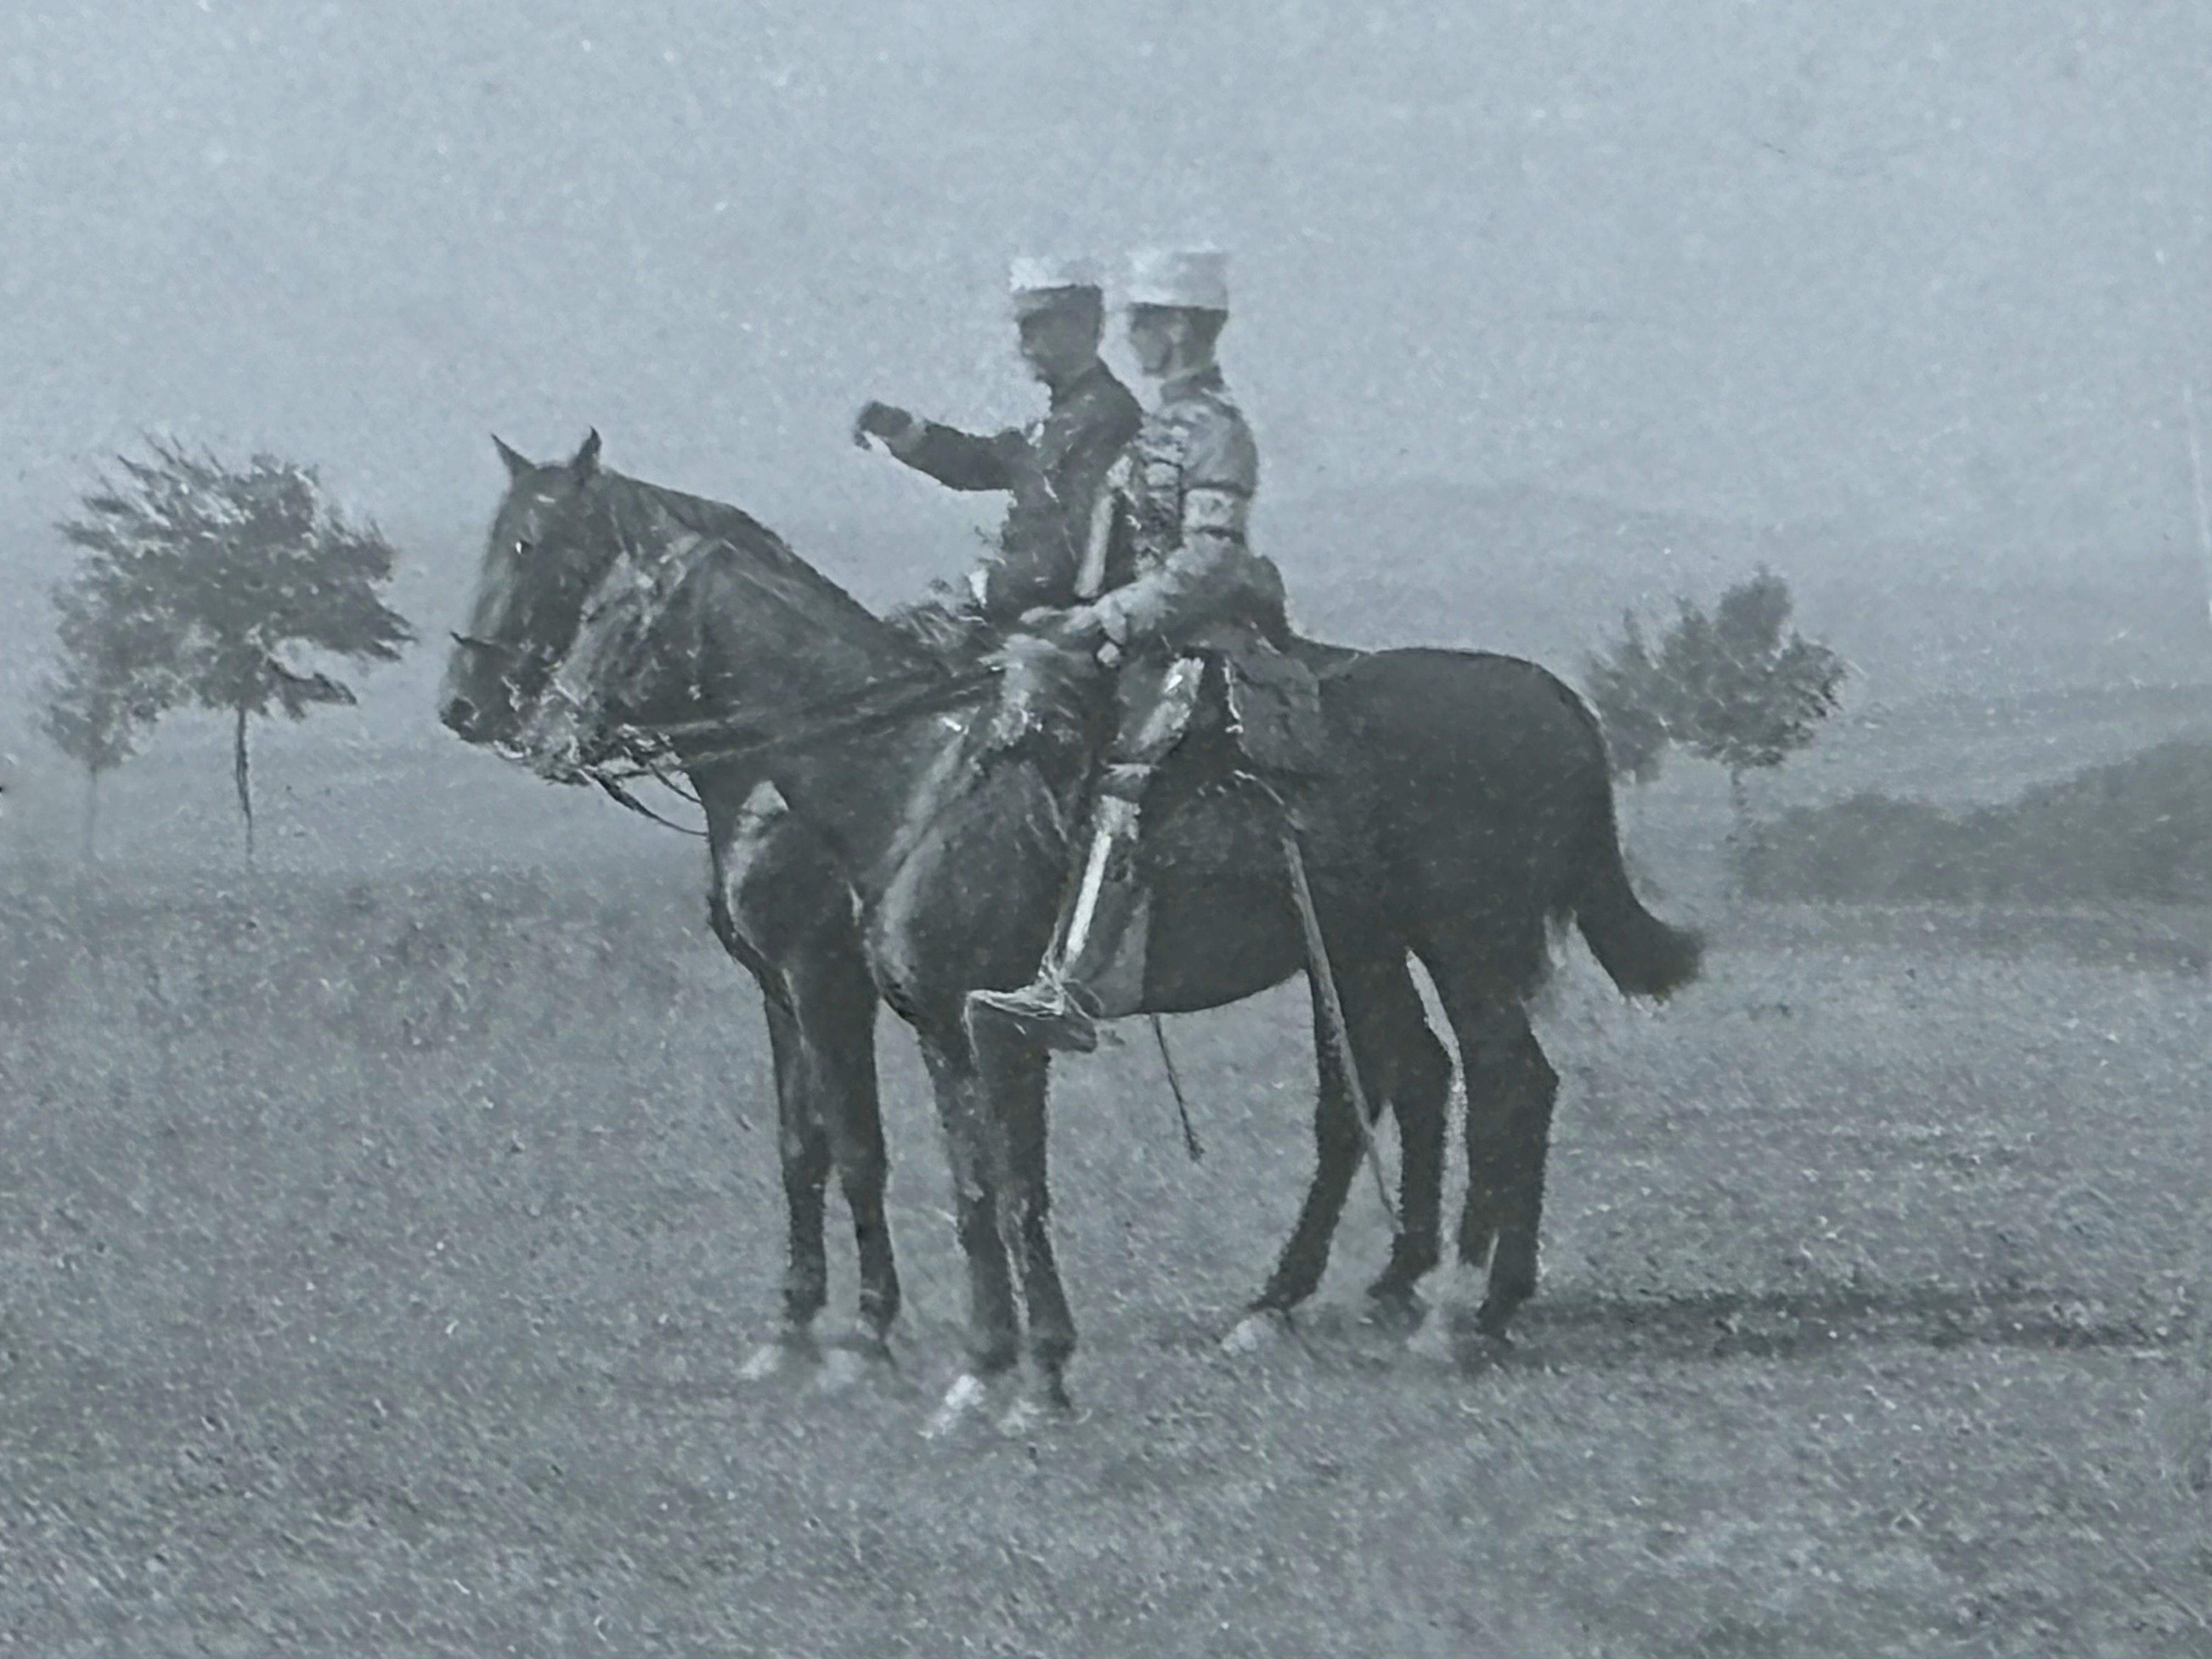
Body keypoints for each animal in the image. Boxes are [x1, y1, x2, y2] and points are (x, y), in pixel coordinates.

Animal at [445, 432, 1703, 1434]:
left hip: (1466, 945)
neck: (903, 769)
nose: (497, 716)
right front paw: (864, 1343)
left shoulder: (863, 991)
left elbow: (910, 1162)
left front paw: (890, 1345)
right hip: (1363, 950)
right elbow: (872, 1164)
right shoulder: (844, 1001)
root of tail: (1558, 704)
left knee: (1502, 1088)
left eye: (548, 560)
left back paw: (1455, 1313)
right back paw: (1357, 1296)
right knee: (1412, 1085)